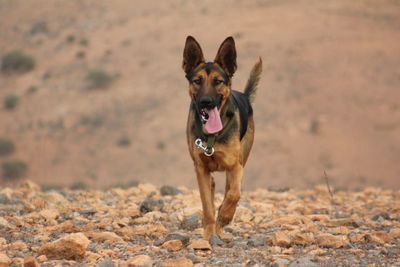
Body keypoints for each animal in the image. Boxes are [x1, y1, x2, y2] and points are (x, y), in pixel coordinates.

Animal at [182, 36, 262, 241]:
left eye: (218, 81)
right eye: (197, 81)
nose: (206, 102)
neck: (212, 136)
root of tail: (244, 95)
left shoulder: (235, 166)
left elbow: (234, 195)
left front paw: (225, 216)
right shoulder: (200, 169)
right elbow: (207, 206)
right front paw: (209, 233)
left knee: (229, 191)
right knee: (211, 191)